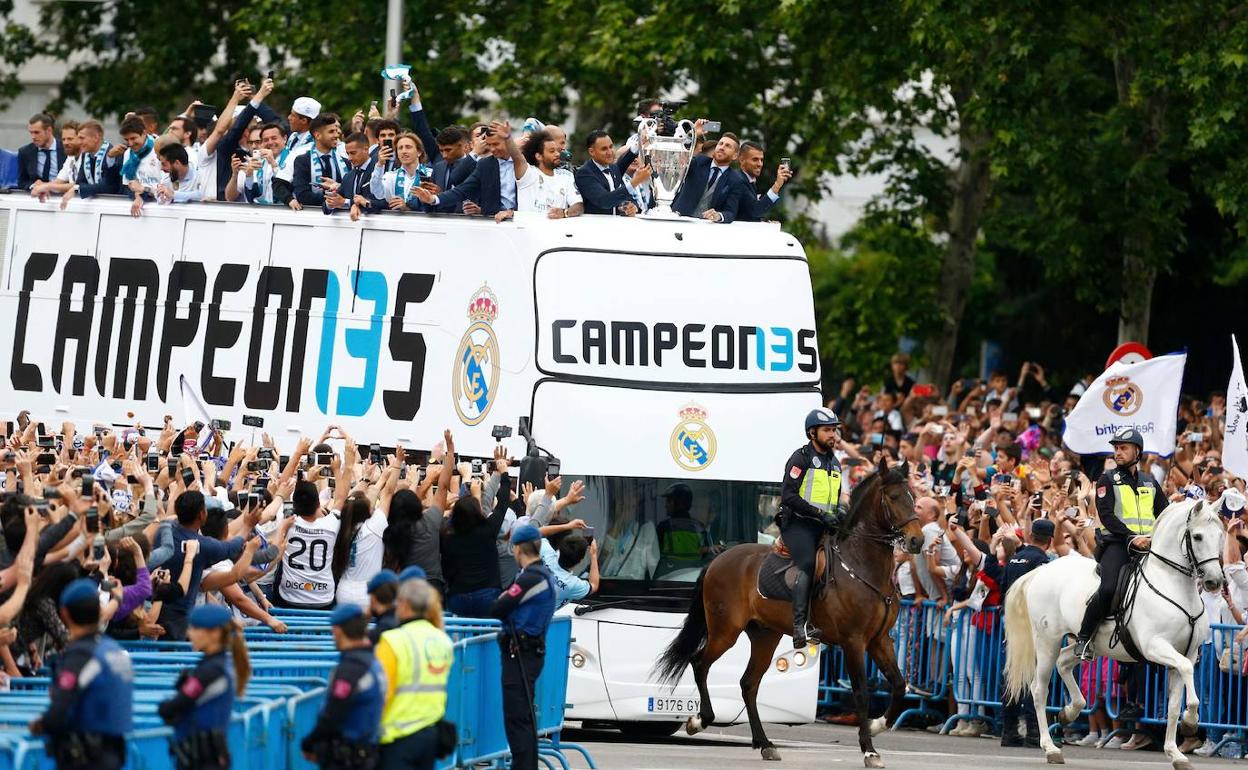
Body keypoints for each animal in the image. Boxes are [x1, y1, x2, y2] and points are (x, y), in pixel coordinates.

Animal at [653, 459, 928, 763]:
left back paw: (764, 744)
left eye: (913, 497)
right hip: (725, 631)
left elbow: (899, 684)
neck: (861, 567)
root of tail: (717, 559)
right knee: (700, 663)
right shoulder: (854, 641)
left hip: (765, 636)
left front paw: (878, 725)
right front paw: (869, 749)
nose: (917, 541)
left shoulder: (880, 640)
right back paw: (700, 720)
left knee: (748, 684)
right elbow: (862, 693)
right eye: (894, 497)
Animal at [998, 499, 1223, 768]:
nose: (1214, 581)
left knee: (1064, 663)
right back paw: (1050, 748)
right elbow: (1187, 676)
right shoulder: (1156, 647)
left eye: (1220, 535)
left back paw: (1070, 711)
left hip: (1084, 643)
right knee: (1039, 690)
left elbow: (1173, 705)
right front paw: (1190, 721)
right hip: (1047, 642)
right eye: (1198, 536)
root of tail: (1042, 571)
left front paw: (1176, 753)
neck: (1172, 585)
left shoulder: (1185, 653)